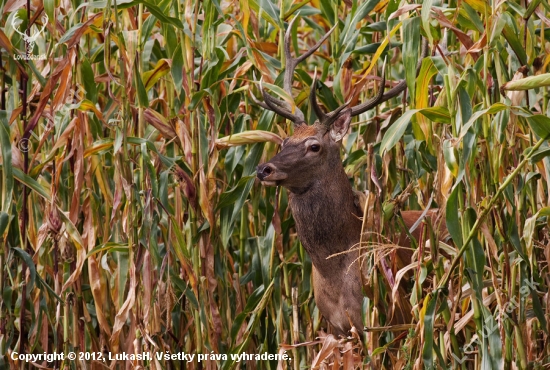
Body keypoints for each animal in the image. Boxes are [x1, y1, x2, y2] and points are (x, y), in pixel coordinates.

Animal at [254, 18, 440, 336]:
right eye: (284, 142)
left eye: (314, 146)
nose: (264, 169)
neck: (336, 275)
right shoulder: (336, 327)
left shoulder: (387, 318)